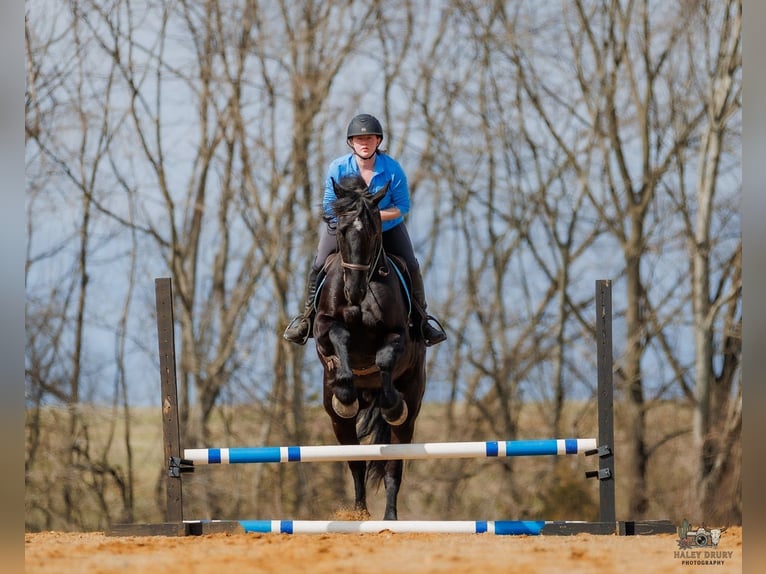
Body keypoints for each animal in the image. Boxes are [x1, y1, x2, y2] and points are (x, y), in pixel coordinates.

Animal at [313, 174, 427, 521]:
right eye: (340, 230)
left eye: (374, 231)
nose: (354, 291)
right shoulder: (324, 326)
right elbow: (338, 337)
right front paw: (344, 387)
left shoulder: (398, 335)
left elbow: (386, 358)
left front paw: (391, 404)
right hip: (338, 423)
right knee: (355, 462)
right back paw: (359, 515)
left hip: (411, 410)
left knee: (393, 465)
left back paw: (389, 517)